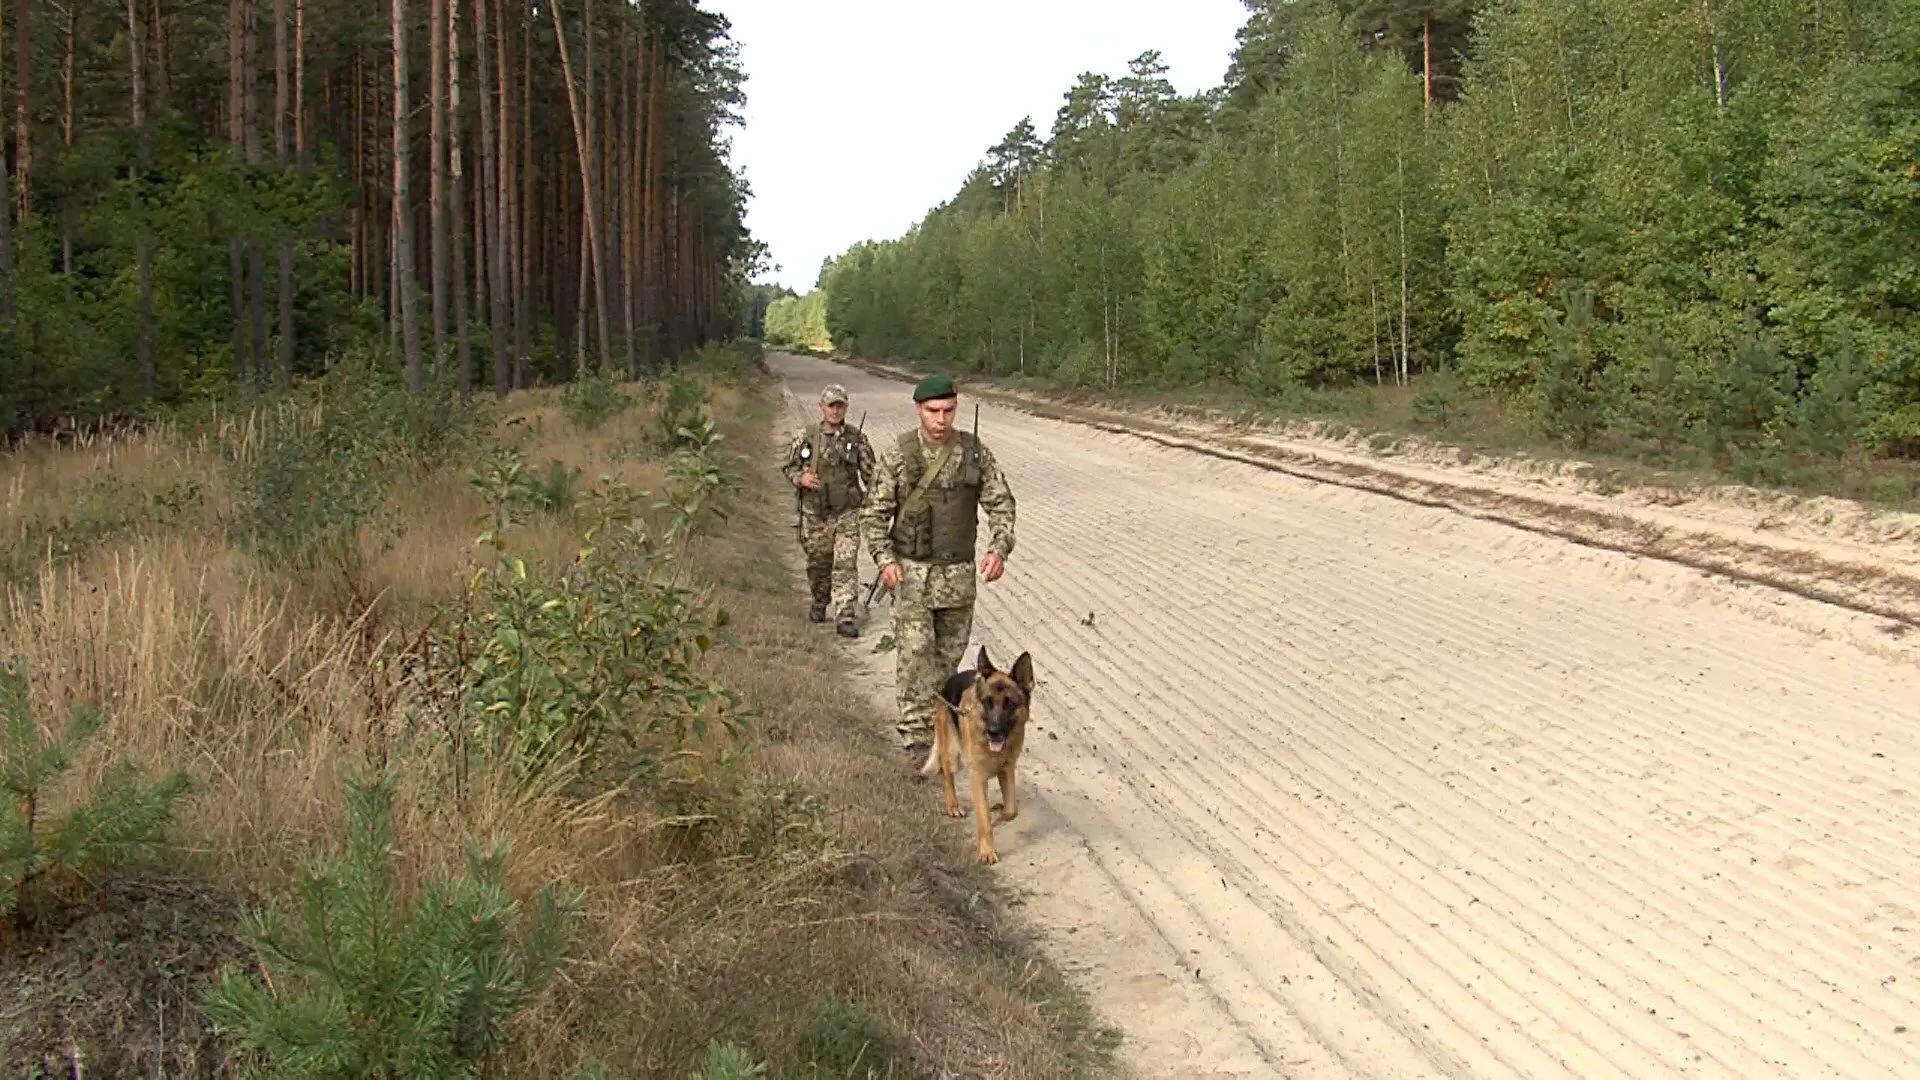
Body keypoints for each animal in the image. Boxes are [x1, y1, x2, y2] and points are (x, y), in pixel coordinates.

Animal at [917, 641, 1036, 860]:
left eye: (1010, 704)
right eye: (987, 702)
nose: (993, 731)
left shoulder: (1007, 771)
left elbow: (1011, 810)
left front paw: (999, 813)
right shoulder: (978, 777)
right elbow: (983, 818)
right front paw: (987, 851)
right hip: (952, 754)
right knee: (945, 773)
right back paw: (953, 806)